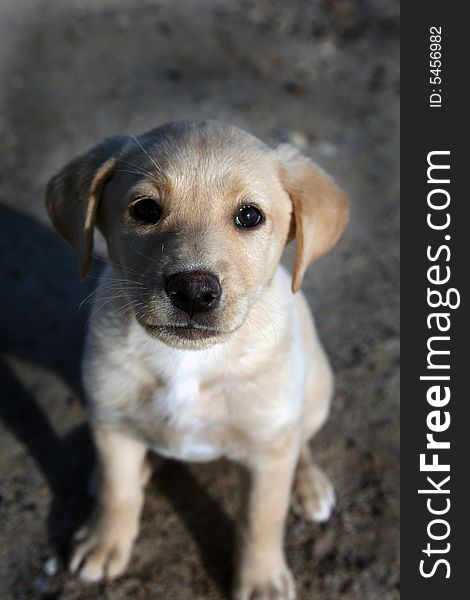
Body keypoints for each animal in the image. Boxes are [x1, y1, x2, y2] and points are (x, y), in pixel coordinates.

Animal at [46, 120, 348, 600]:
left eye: (249, 216)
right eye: (146, 209)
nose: (192, 291)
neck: (188, 362)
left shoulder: (267, 450)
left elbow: (261, 519)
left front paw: (261, 579)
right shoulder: (109, 420)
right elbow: (117, 489)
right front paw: (104, 542)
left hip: (314, 392)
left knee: (300, 438)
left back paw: (307, 484)